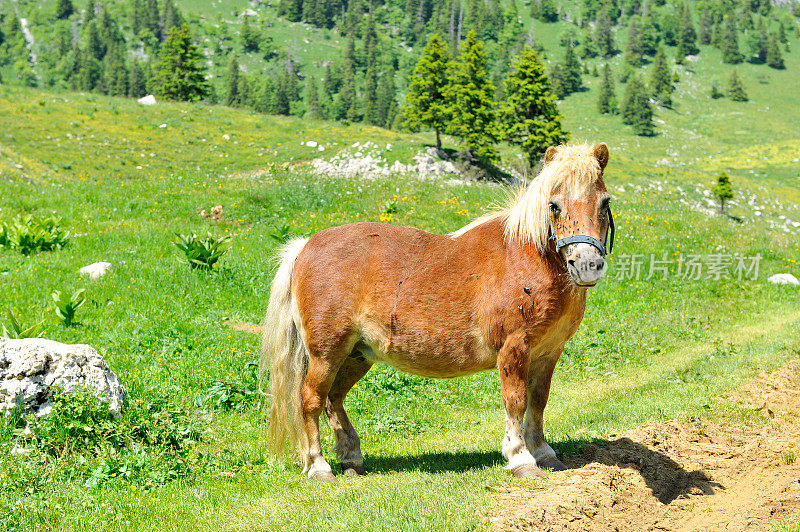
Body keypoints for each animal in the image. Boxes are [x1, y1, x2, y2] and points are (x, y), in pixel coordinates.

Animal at [260, 141, 616, 482]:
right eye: (554, 205)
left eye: (604, 203)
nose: (587, 264)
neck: (527, 256)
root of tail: (305, 246)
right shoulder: (514, 348)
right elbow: (516, 400)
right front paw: (521, 458)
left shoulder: (548, 352)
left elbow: (538, 400)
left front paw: (543, 453)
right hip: (326, 354)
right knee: (311, 400)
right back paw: (319, 467)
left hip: (356, 355)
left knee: (333, 399)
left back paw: (351, 458)